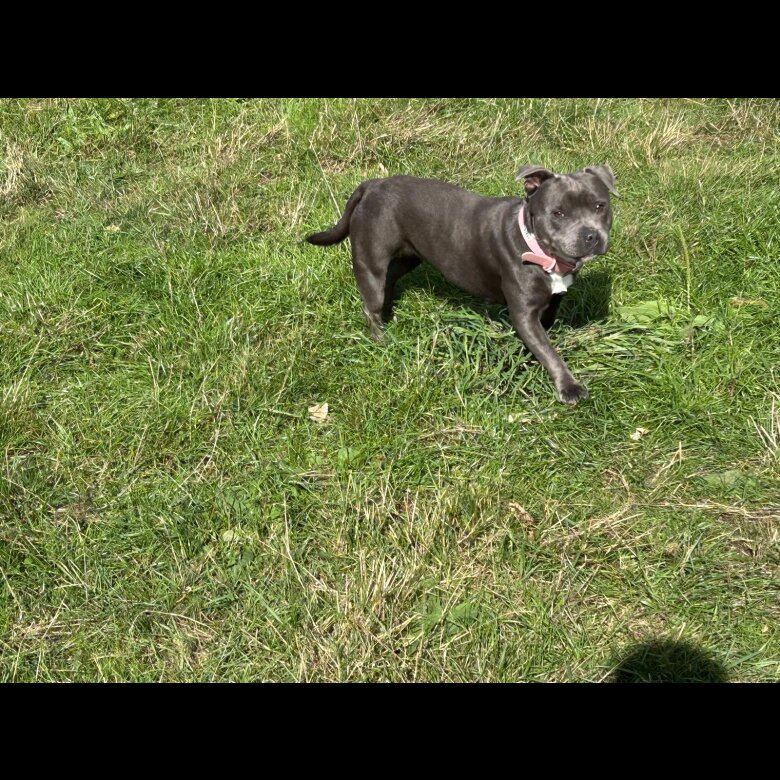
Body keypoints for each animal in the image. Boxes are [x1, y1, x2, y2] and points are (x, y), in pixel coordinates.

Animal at [306, 165, 618, 404]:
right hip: (371, 260)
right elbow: (550, 352)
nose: (591, 235)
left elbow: (543, 338)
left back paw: (389, 311)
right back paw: (381, 339)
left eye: (600, 206)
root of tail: (373, 184)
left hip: (410, 255)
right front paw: (569, 386)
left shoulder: (552, 302)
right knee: (371, 303)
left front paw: (528, 356)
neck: (541, 252)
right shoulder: (523, 313)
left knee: (390, 280)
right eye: (558, 213)